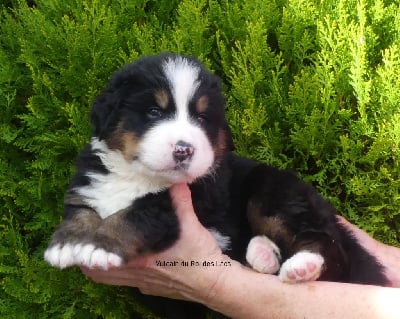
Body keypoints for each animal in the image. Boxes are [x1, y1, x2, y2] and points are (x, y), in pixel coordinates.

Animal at [43, 52, 388, 296]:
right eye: (153, 112)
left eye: (201, 118)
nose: (184, 149)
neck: (136, 176)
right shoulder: (88, 185)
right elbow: (81, 213)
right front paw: (67, 245)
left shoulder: (172, 208)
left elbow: (131, 215)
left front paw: (98, 247)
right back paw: (263, 254)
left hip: (274, 192)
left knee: (330, 248)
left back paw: (303, 265)